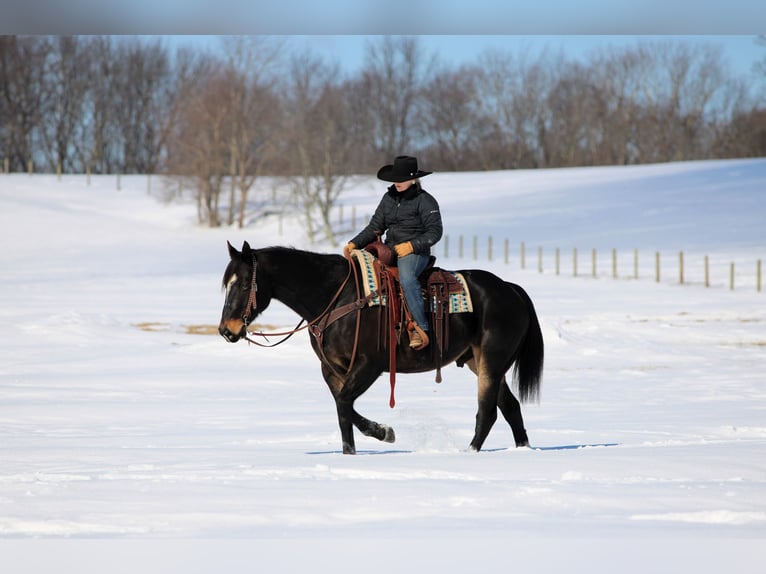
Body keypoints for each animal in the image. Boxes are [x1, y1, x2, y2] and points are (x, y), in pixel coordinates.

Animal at [219, 241, 544, 454]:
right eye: (227, 284)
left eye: (245, 283)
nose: (226, 330)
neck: (337, 297)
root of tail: (509, 289)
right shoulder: (332, 369)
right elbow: (343, 409)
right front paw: (356, 449)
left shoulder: (370, 365)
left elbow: (345, 404)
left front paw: (382, 433)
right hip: (482, 362)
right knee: (510, 406)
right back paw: (522, 450)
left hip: (491, 361)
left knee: (487, 411)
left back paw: (470, 452)